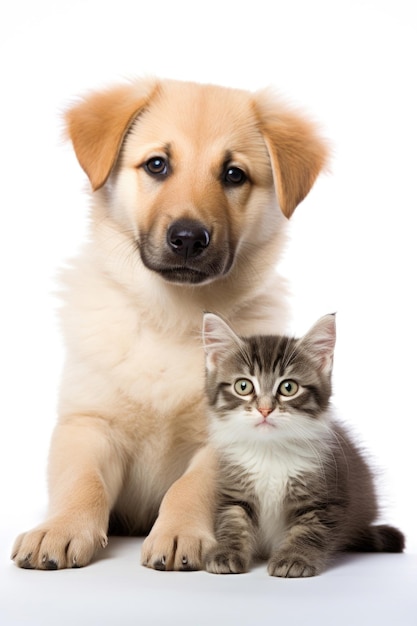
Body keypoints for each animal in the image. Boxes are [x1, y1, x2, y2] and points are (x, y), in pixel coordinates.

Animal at [11, 77, 326, 564]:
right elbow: (81, 480)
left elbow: (190, 486)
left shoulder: (224, 434)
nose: (189, 238)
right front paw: (60, 528)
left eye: (234, 174)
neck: (173, 317)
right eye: (157, 164)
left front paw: (179, 532)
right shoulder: (88, 423)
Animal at [202, 312, 404, 576]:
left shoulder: (325, 495)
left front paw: (294, 557)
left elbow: (310, 530)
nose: (265, 409)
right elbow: (232, 520)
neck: (270, 450)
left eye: (288, 387)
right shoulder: (234, 489)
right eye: (243, 386)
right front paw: (227, 551)